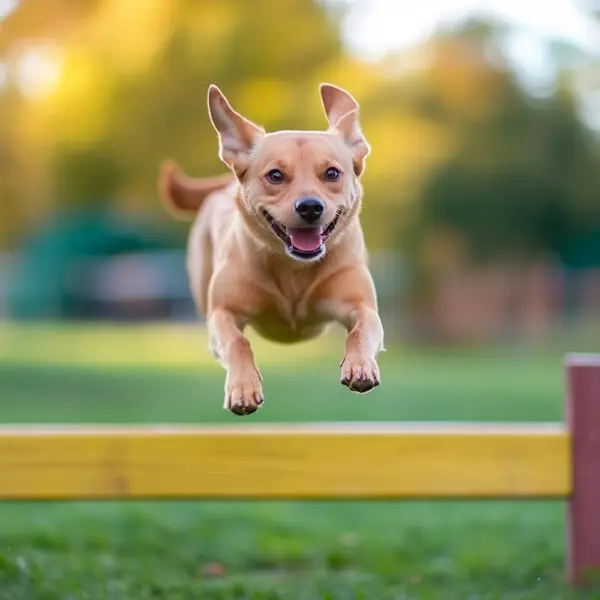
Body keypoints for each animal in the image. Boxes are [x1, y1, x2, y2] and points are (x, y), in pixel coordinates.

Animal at [159, 82, 384, 414]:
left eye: (332, 173)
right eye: (275, 175)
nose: (310, 207)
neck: (294, 268)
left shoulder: (360, 303)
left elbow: (362, 329)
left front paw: (360, 365)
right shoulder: (222, 313)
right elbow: (237, 342)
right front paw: (243, 388)